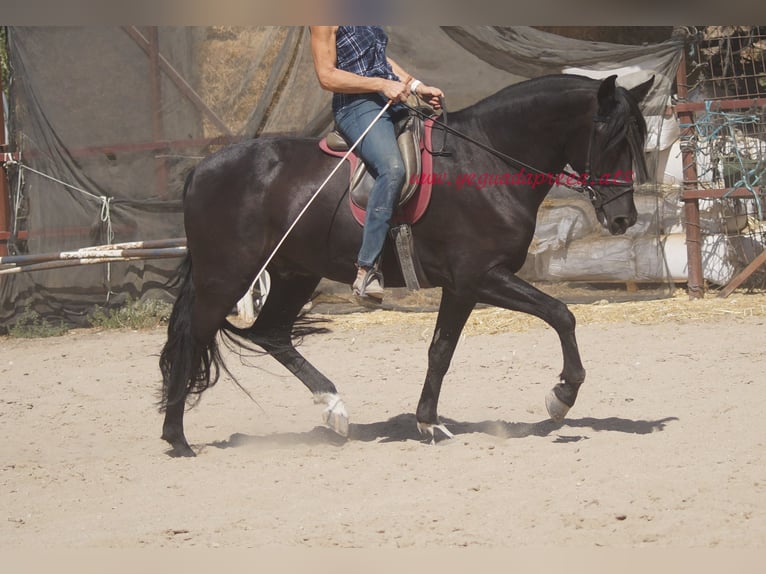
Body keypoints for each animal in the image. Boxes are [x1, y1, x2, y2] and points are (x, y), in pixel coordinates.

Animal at [160, 73, 656, 460]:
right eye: (611, 140)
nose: (623, 218)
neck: (486, 157)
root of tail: (201, 170)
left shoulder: (462, 287)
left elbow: (441, 351)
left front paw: (428, 422)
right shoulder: (481, 277)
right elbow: (561, 314)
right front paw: (561, 397)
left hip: (292, 274)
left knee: (271, 334)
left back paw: (335, 410)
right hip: (226, 278)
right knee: (192, 338)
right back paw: (177, 438)